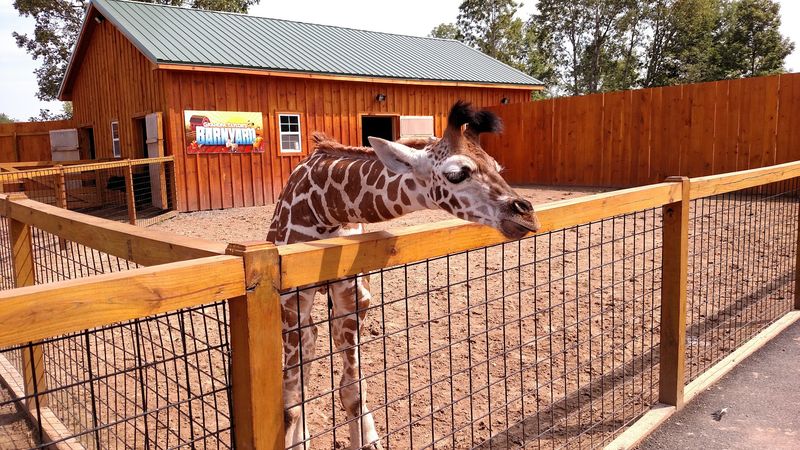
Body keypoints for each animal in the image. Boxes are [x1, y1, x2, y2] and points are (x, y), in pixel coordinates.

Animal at [267, 101, 541, 450]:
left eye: (497, 166)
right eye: (457, 173)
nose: (527, 215)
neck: (325, 209)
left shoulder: (353, 296)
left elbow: (352, 391)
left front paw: (366, 440)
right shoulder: (291, 301)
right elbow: (290, 400)